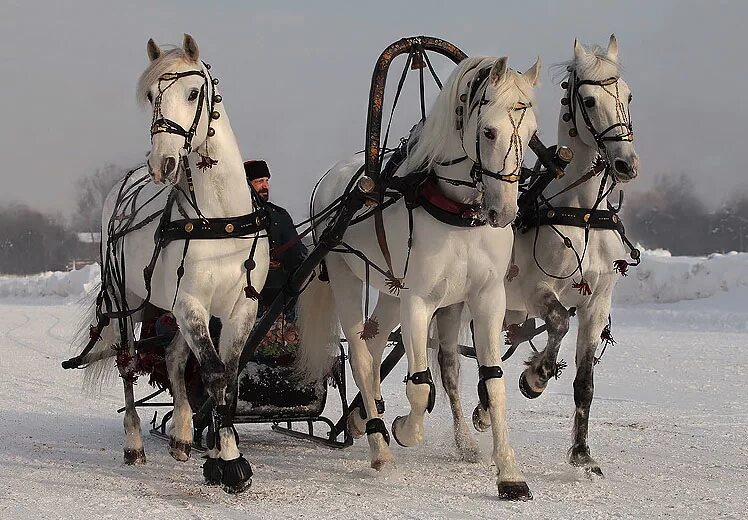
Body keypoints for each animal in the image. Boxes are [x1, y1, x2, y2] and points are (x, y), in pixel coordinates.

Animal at [73, 35, 266, 492]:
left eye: (194, 93)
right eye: (150, 96)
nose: (161, 164)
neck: (220, 219)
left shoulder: (240, 306)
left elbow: (227, 376)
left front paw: (218, 452)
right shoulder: (191, 302)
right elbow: (213, 373)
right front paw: (228, 462)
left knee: (176, 359)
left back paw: (180, 434)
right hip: (126, 299)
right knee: (128, 363)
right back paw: (134, 444)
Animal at [300, 54, 544, 502]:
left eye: (532, 133)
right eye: (489, 131)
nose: (504, 212)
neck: (458, 214)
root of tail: (331, 176)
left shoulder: (487, 298)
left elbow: (493, 382)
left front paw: (509, 474)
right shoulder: (418, 301)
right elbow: (420, 386)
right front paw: (404, 429)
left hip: (390, 292)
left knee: (373, 343)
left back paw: (365, 419)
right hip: (347, 276)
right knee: (361, 356)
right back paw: (379, 444)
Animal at [436, 34, 640, 478]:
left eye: (628, 95)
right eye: (589, 100)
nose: (626, 163)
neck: (582, 214)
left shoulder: (598, 302)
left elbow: (584, 382)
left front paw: (582, 454)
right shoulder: (536, 290)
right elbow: (559, 322)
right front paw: (536, 377)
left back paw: (483, 410)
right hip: (459, 302)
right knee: (450, 363)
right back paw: (467, 431)